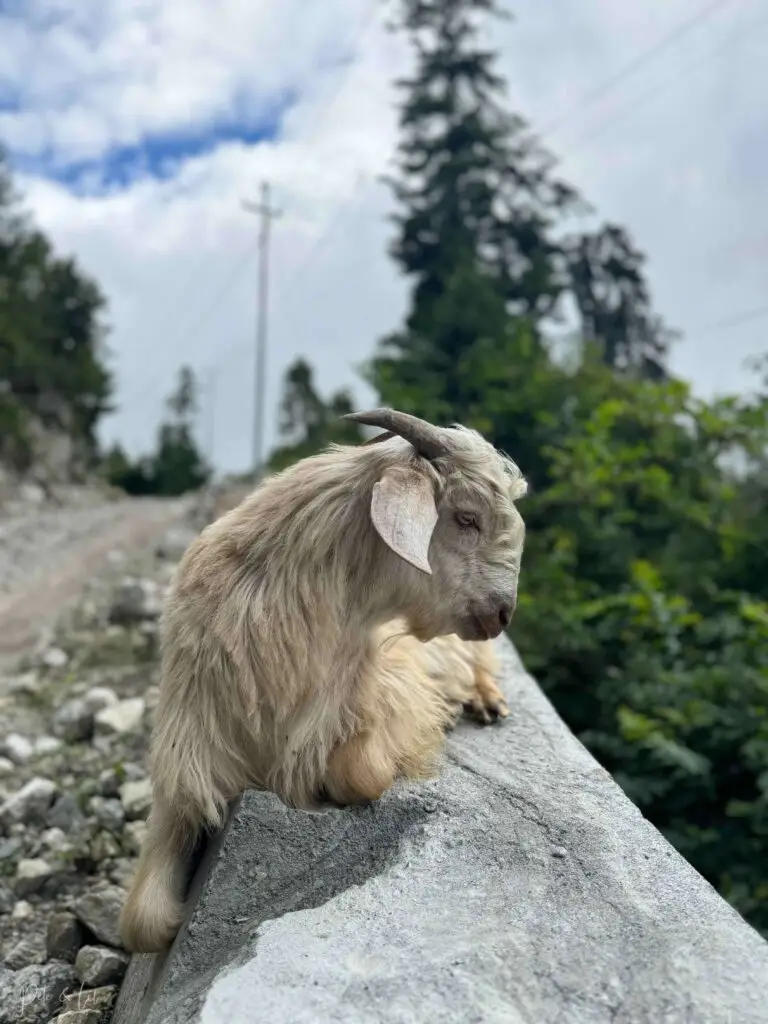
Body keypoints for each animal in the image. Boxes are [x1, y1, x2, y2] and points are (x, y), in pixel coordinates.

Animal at [119, 409, 527, 953]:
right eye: (466, 517)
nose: (503, 613)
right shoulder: (184, 775)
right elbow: (144, 921)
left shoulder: (387, 688)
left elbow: (362, 773)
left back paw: (487, 703)